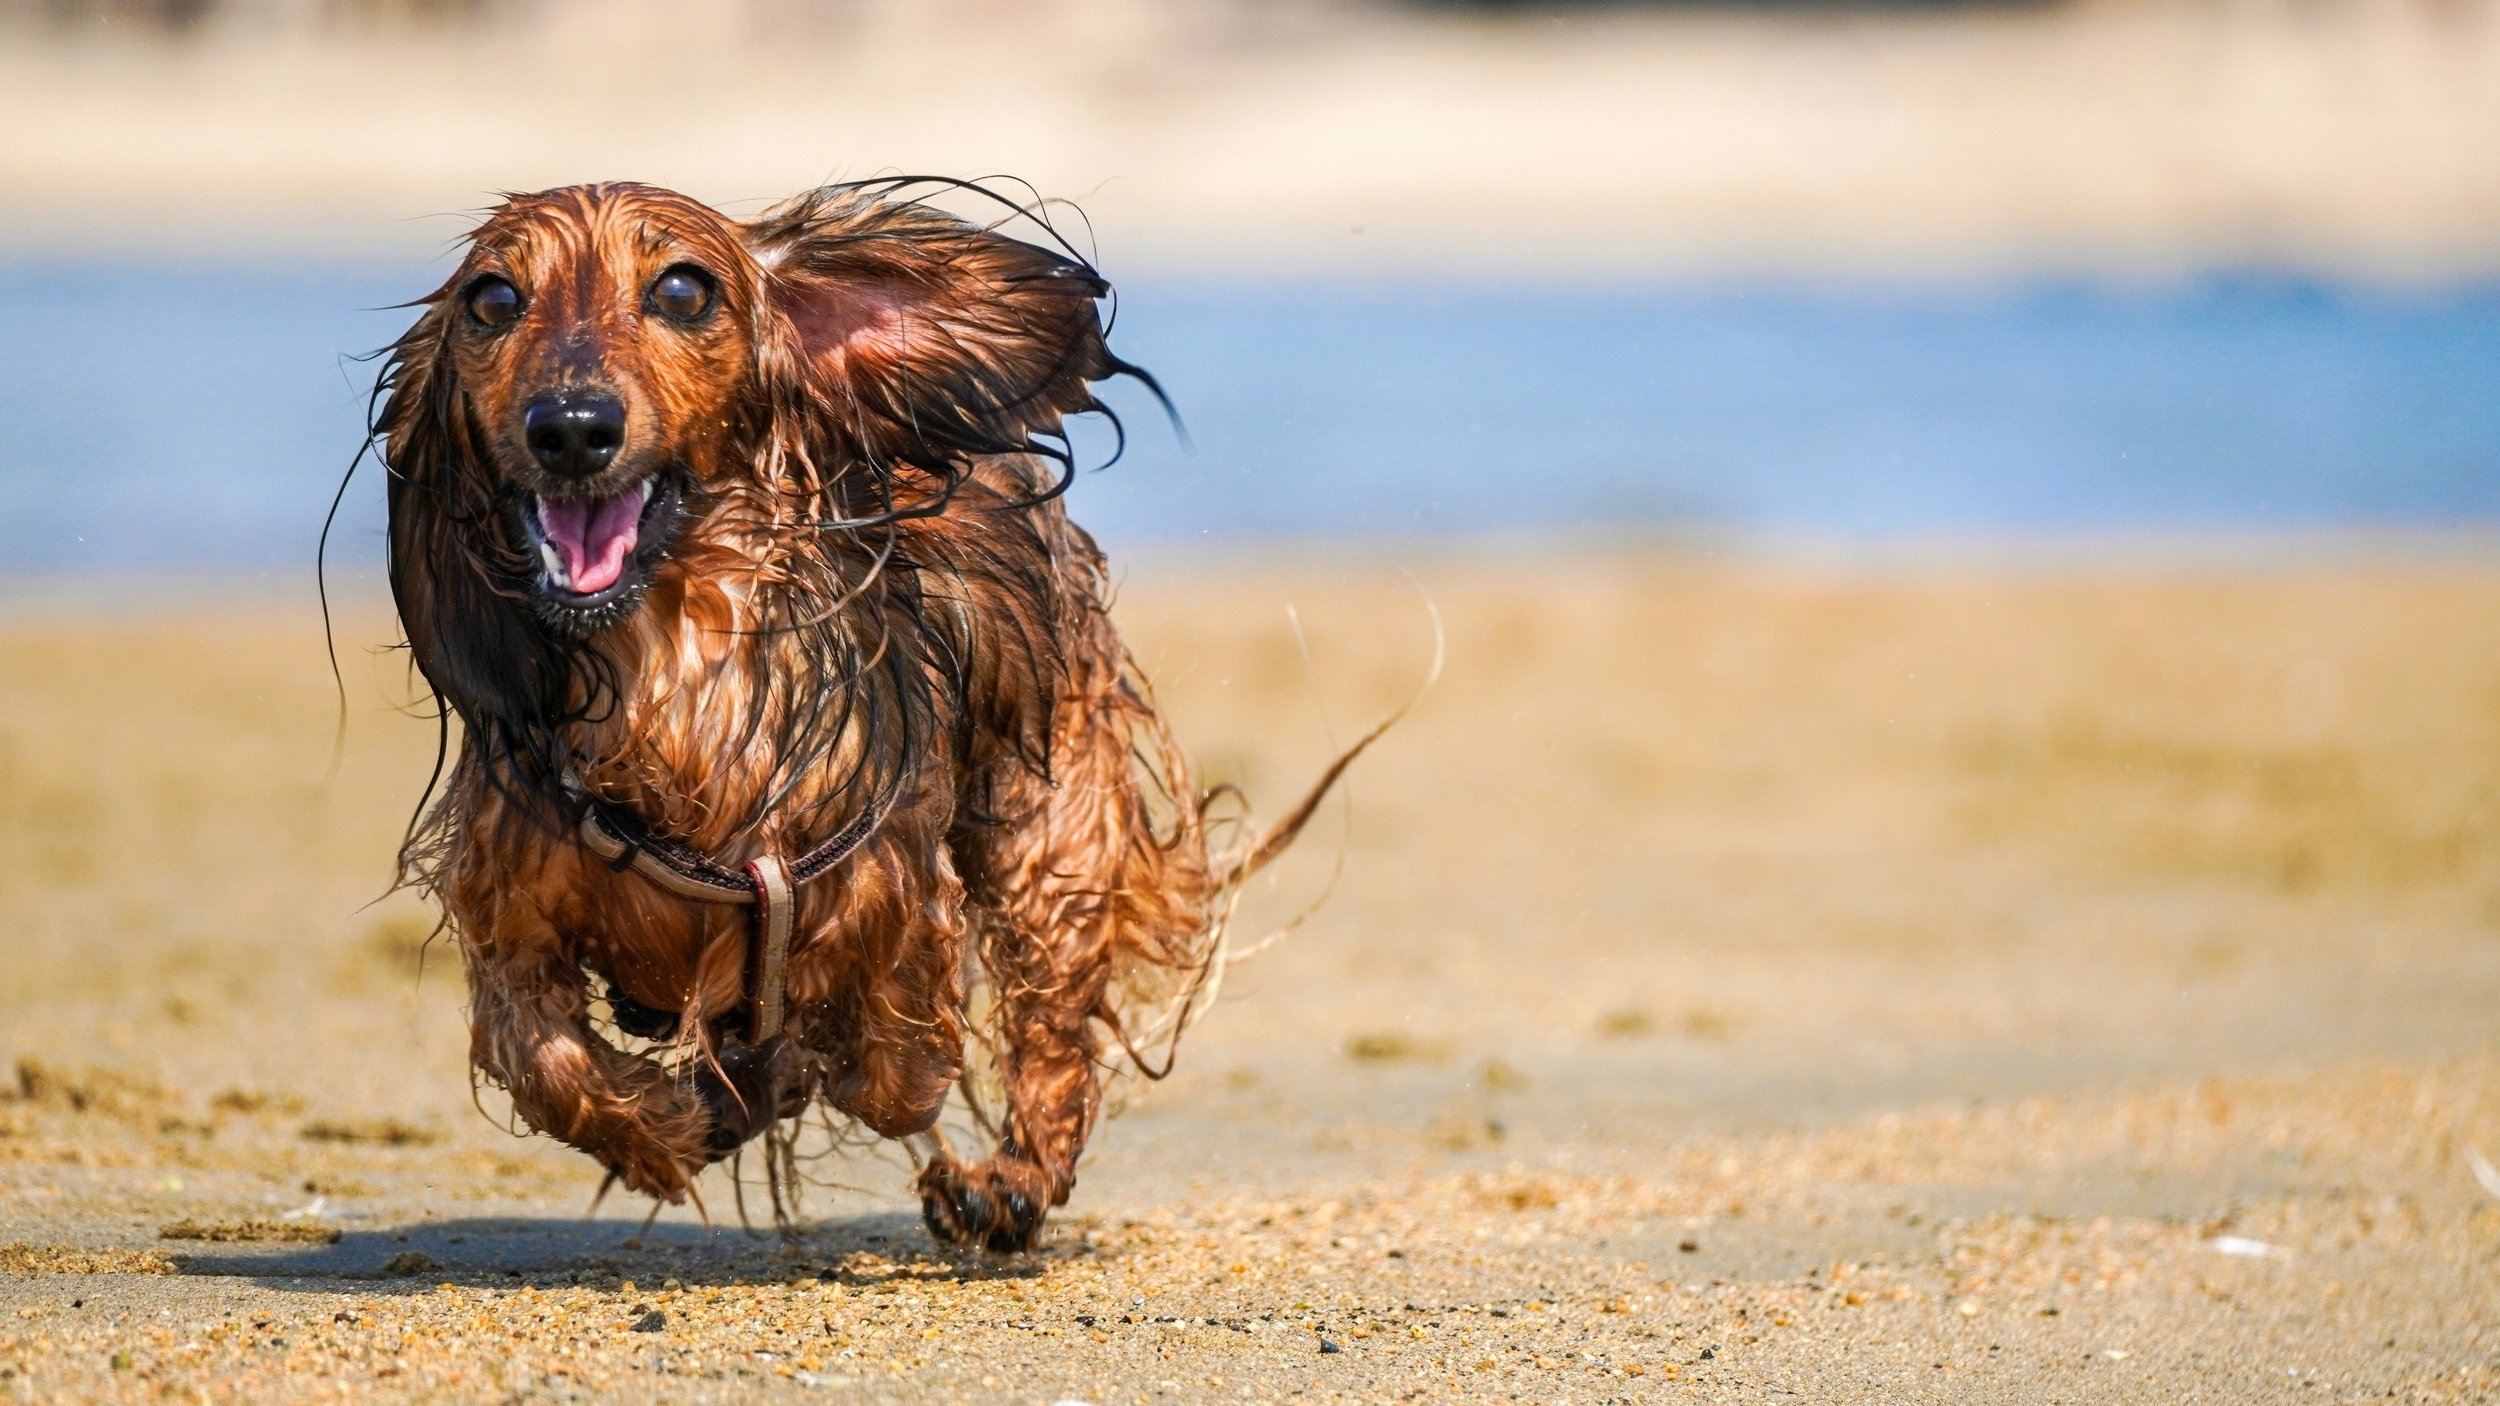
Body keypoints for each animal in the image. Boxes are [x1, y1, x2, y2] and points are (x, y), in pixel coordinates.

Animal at [370, 177, 1360, 1245]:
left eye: (681, 290)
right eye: (492, 300)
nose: (571, 426)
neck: (670, 681)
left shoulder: (893, 899)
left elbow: (894, 1064)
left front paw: (776, 1078)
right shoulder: (509, 908)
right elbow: (544, 1059)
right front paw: (673, 1125)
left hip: (1047, 826)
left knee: (1049, 1016)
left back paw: (1012, 1177)